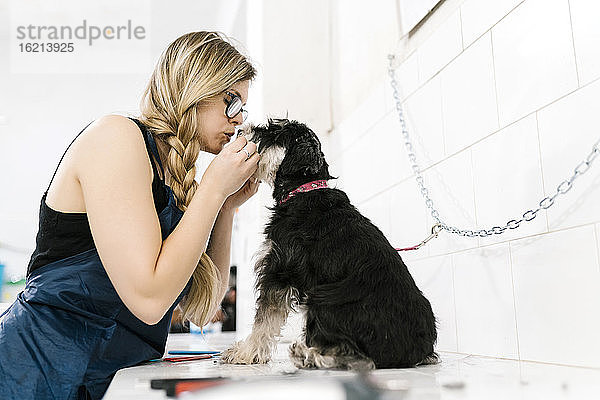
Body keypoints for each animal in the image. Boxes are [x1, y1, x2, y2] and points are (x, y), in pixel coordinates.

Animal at [221, 118, 440, 368]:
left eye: (273, 133)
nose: (240, 130)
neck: (302, 191)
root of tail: (416, 351)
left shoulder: (279, 271)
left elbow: (265, 318)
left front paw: (245, 352)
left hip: (322, 299)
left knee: (357, 357)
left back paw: (307, 354)